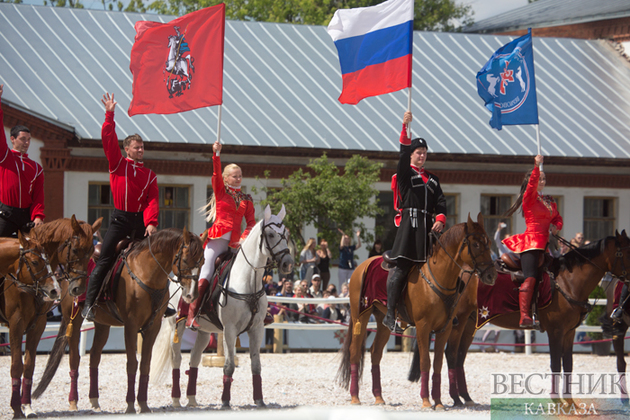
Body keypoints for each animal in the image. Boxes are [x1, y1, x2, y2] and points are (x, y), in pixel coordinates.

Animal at [0, 231, 60, 418]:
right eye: (34, 262)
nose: (55, 290)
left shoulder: (38, 326)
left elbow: (28, 366)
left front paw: (26, 406)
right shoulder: (16, 324)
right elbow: (16, 366)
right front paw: (16, 408)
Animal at [32, 226, 205, 414]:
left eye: (202, 262)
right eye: (186, 260)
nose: (191, 295)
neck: (146, 274)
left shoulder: (153, 326)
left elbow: (145, 364)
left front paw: (143, 405)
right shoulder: (131, 325)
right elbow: (132, 364)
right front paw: (130, 405)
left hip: (102, 324)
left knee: (94, 357)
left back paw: (94, 401)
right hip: (75, 321)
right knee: (74, 359)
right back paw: (73, 402)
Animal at [152, 205, 296, 408]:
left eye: (286, 234)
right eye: (270, 234)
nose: (288, 264)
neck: (249, 281)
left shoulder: (257, 329)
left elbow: (256, 365)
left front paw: (259, 400)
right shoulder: (229, 329)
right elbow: (228, 366)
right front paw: (226, 401)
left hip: (204, 332)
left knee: (194, 359)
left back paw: (192, 399)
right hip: (176, 326)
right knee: (177, 359)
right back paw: (176, 400)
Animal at [338, 213, 496, 406]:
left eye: (488, 242)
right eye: (476, 244)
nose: (491, 275)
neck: (438, 278)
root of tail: (361, 266)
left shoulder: (445, 329)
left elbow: (437, 363)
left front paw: (438, 402)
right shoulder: (423, 326)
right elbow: (425, 361)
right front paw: (427, 401)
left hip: (383, 321)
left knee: (375, 352)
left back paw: (379, 397)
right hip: (360, 315)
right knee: (354, 351)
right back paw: (355, 397)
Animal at [446, 228, 630, 406]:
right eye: (627, 252)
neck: (567, 282)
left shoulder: (569, 332)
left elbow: (568, 364)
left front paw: (570, 402)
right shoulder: (555, 331)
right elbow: (555, 364)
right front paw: (557, 401)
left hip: (470, 322)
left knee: (460, 356)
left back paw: (466, 397)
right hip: (458, 320)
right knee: (451, 353)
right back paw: (456, 398)